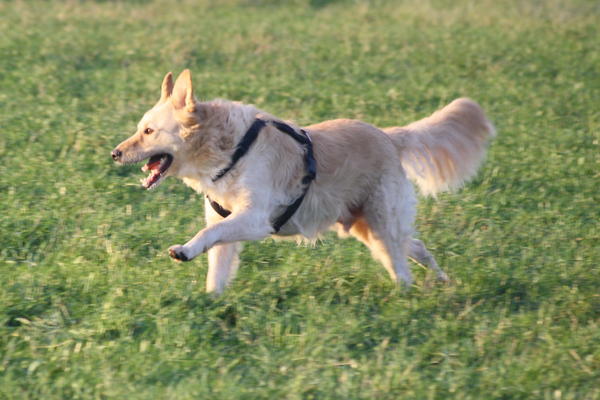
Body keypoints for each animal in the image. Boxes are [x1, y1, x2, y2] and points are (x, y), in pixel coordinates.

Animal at [110, 69, 494, 294]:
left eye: (148, 132)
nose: (114, 153)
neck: (230, 149)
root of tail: (389, 136)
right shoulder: (226, 222)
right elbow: (216, 266)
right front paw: (210, 302)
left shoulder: (255, 219)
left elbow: (209, 233)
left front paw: (184, 250)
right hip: (367, 226)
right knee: (416, 246)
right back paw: (443, 280)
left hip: (381, 224)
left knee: (402, 266)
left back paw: (407, 296)